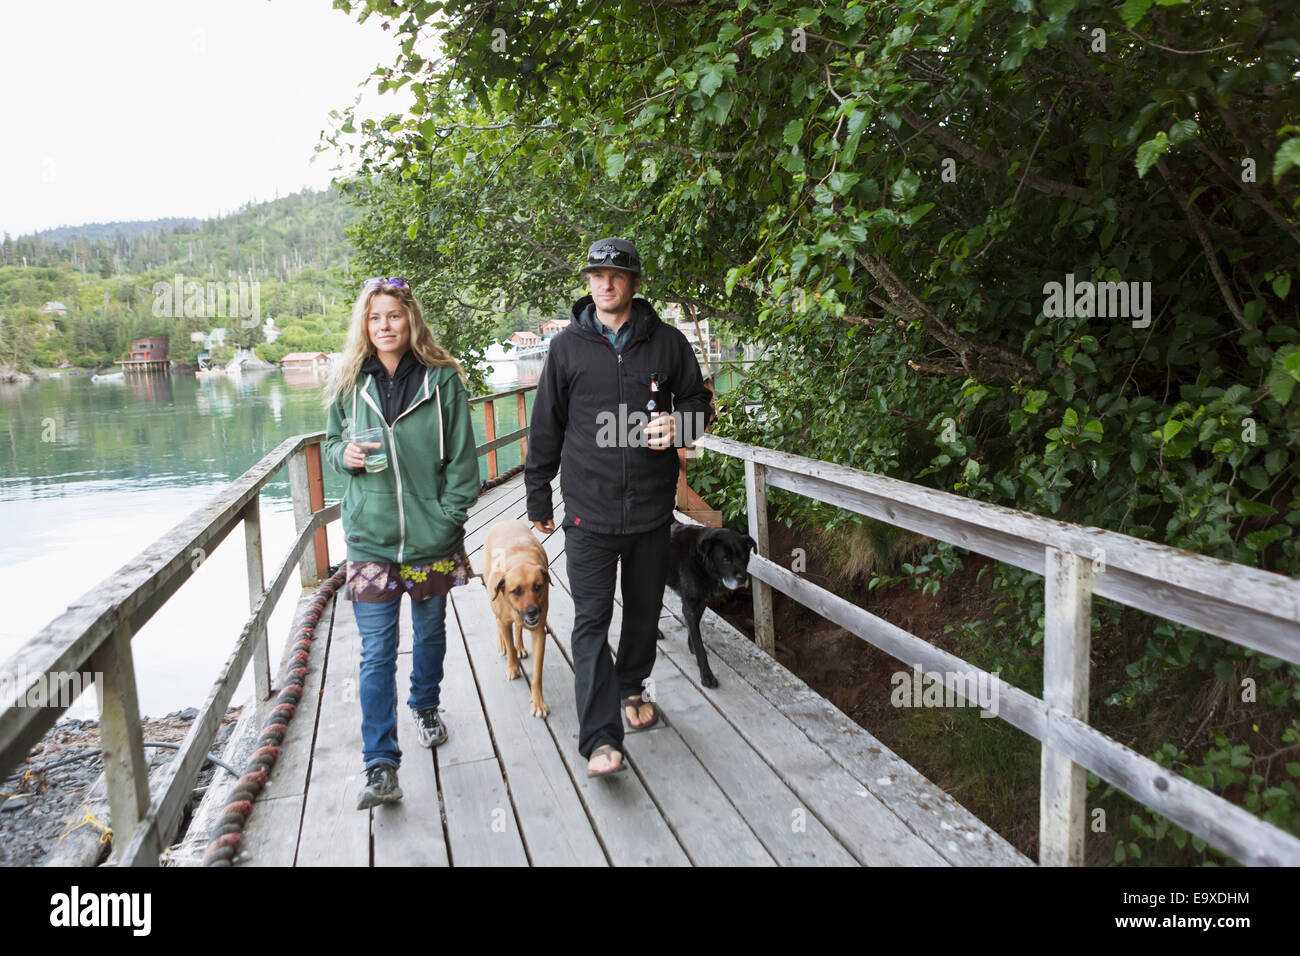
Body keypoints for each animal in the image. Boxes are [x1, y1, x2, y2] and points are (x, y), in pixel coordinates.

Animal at [483, 522, 553, 717]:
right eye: (516, 591)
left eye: (537, 587)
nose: (532, 612)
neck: (519, 560)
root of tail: (504, 521)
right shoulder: (505, 620)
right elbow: (509, 643)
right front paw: (513, 667)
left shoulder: (539, 632)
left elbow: (537, 673)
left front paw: (538, 702)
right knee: (499, 623)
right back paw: (503, 644)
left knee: (519, 628)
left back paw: (520, 645)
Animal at [655, 522, 759, 686]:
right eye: (725, 559)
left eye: (744, 557)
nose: (742, 579)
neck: (701, 562)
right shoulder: (690, 607)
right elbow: (700, 646)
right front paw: (707, 675)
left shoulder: (701, 602)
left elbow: (694, 629)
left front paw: (691, 645)